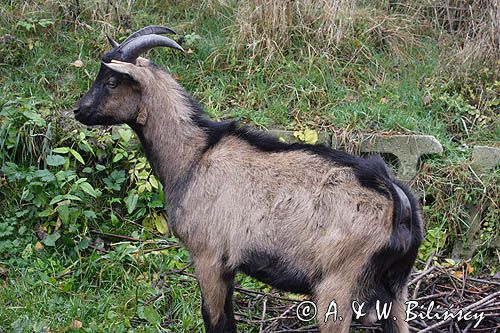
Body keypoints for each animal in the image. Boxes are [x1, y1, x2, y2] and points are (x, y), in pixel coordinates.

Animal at [74, 26, 424, 332]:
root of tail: (396, 198)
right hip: (396, 291)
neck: (194, 156)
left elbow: (216, 321)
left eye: (112, 81)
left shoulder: (208, 257)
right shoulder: (228, 267)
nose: (79, 110)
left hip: (337, 285)